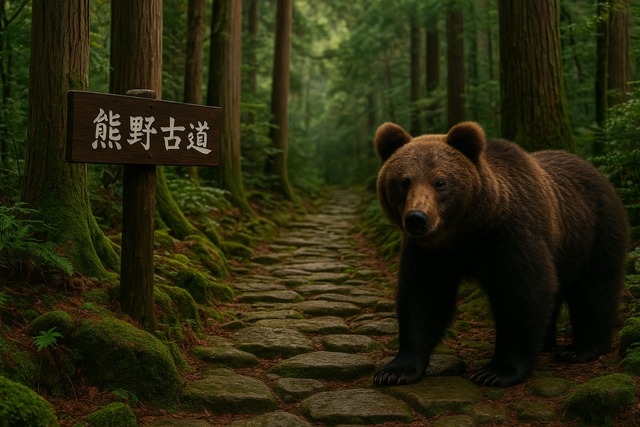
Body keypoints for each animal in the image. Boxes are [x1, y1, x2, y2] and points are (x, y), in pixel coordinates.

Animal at [372, 121, 629, 387]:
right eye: (404, 181)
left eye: (440, 182)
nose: (417, 218)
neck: (467, 231)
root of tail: (596, 171)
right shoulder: (431, 252)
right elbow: (423, 297)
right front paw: (396, 370)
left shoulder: (510, 236)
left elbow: (522, 293)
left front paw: (496, 372)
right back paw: (546, 343)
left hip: (594, 231)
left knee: (594, 288)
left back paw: (580, 349)